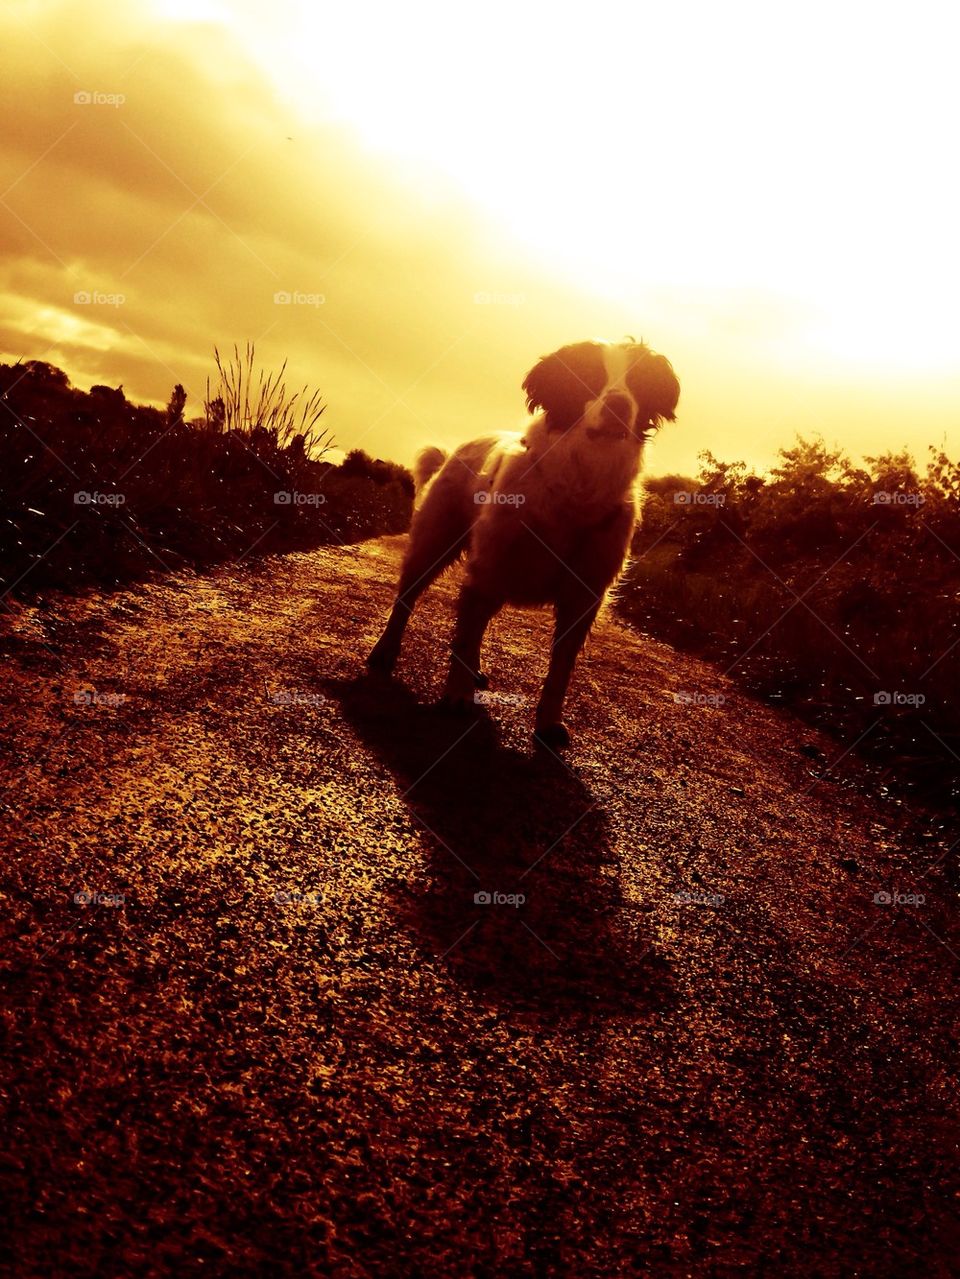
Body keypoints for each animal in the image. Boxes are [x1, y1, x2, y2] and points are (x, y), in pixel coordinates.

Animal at [363, 340, 680, 746]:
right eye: (590, 376)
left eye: (638, 382)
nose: (619, 404)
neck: (576, 485)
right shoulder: (488, 568)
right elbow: (465, 635)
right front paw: (457, 694)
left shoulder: (583, 594)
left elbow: (560, 668)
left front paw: (548, 722)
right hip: (433, 545)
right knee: (407, 600)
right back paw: (385, 651)